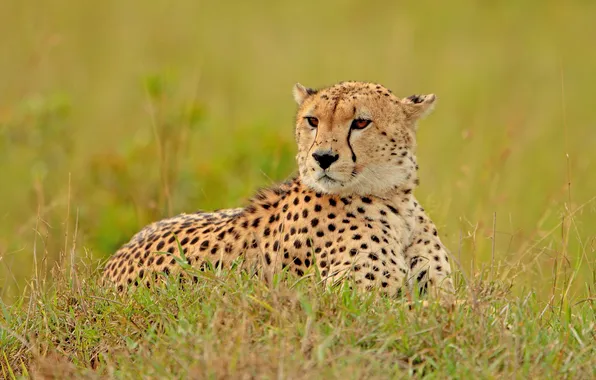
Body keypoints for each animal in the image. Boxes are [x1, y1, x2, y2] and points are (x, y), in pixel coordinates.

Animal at [102, 81, 456, 304]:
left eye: (360, 123)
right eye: (312, 120)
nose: (323, 157)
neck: (394, 199)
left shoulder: (438, 291)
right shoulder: (355, 298)